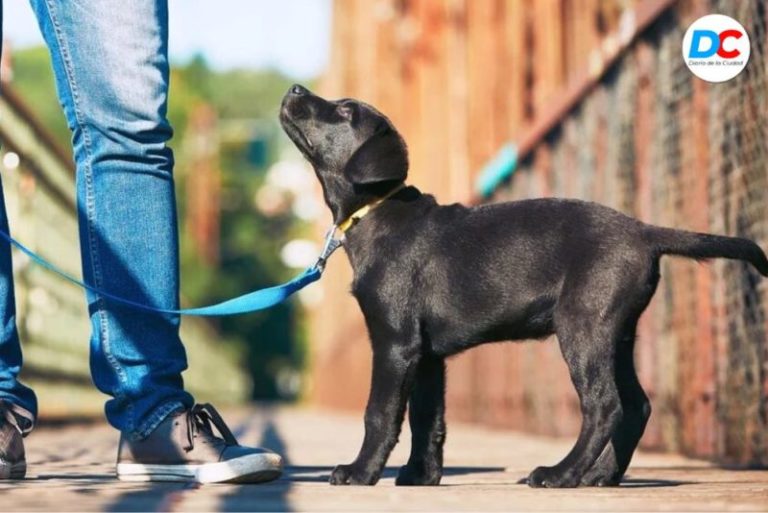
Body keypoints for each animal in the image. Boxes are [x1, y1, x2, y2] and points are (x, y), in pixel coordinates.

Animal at [280, 85, 768, 488]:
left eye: (345, 110)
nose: (295, 88)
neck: (376, 211)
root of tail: (645, 231)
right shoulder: (427, 355)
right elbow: (427, 419)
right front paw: (421, 476)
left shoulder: (395, 343)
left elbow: (380, 413)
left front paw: (360, 472)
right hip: (617, 333)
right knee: (636, 406)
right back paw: (600, 476)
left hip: (582, 327)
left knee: (604, 405)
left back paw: (561, 474)